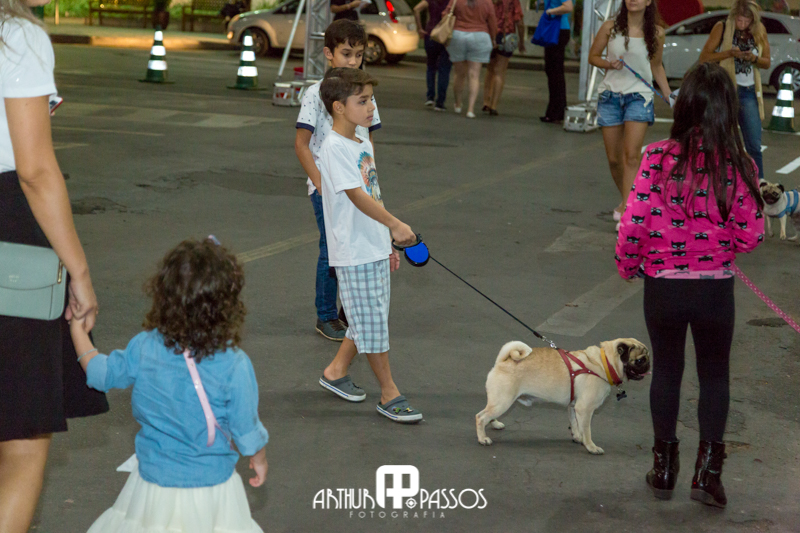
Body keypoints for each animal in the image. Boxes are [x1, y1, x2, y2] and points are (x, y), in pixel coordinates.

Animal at [475, 338, 650, 455]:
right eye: (640, 360)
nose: (649, 364)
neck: (604, 363)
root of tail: (502, 361)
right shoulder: (585, 409)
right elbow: (587, 430)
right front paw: (591, 446)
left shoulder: (573, 406)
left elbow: (575, 424)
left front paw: (577, 437)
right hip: (503, 401)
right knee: (480, 417)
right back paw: (483, 438)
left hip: (500, 402)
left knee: (488, 414)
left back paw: (495, 424)